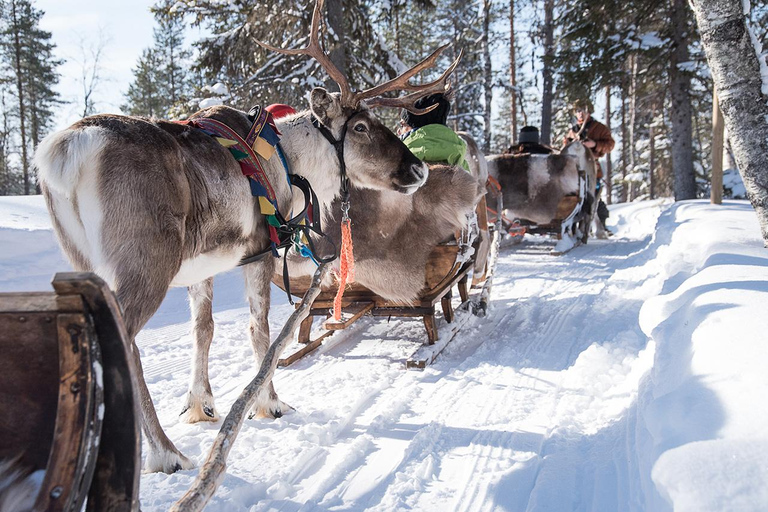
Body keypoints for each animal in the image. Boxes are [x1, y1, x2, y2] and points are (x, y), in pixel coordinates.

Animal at [34, 0, 460, 474]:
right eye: (362, 126)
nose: (418, 169)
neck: (293, 164)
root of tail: (65, 151)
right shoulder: (261, 252)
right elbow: (262, 330)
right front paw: (269, 403)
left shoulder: (201, 267)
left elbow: (203, 328)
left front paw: (200, 405)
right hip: (146, 264)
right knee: (122, 342)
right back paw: (165, 452)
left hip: (84, 263)